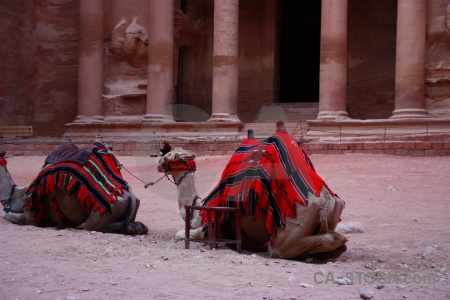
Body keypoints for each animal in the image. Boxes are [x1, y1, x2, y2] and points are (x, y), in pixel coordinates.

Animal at [0, 142, 148, 236]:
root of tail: (130, 195)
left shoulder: (31, 217)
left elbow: (8, 216)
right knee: (138, 226)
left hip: (103, 213)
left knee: (94, 227)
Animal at [158, 127, 348, 258]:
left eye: (169, 156)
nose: (159, 162)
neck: (196, 208)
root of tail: (326, 202)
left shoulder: (207, 228)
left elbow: (179, 235)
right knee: (338, 239)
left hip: (292, 224)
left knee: (279, 248)